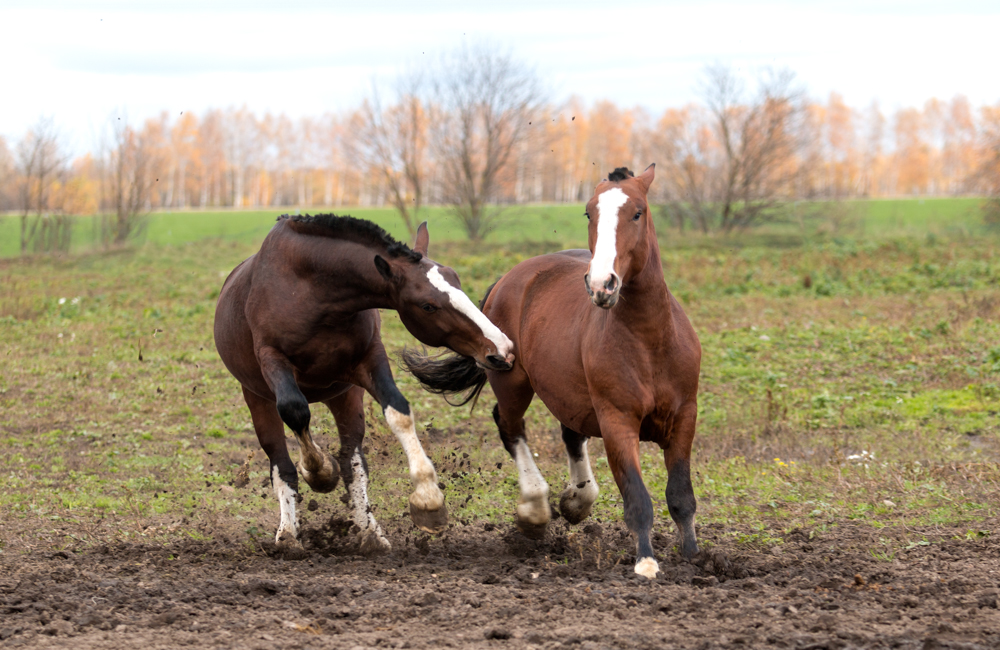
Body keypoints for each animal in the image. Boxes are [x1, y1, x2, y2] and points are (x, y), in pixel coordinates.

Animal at [210, 214, 508, 552]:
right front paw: (319, 472)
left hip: (344, 396)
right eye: (428, 306)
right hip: (258, 398)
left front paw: (429, 500)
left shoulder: (369, 360)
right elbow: (295, 412)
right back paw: (288, 533)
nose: (500, 348)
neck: (313, 292)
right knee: (281, 460)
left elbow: (398, 412)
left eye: (456, 282)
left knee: (352, 461)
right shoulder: (272, 361)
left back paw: (370, 532)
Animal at [402, 163, 700, 576]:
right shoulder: (618, 422)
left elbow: (681, 495)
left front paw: (694, 557)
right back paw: (535, 509)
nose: (602, 284)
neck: (650, 340)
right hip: (511, 381)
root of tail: (512, 277)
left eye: (637, 212)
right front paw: (646, 563)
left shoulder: (684, 417)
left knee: (571, 434)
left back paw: (576, 500)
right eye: (589, 213)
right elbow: (638, 497)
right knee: (510, 426)